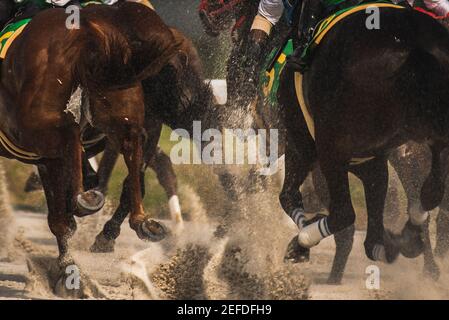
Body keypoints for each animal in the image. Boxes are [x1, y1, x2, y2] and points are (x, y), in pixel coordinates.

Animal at [1, 1, 180, 296]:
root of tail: (87, 30)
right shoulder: (45, 160)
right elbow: (59, 219)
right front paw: (67, 269)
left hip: (39, 122)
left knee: (71, 134)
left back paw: (85, 199)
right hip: (119, 101)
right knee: (132, 142)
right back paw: (138, 220)